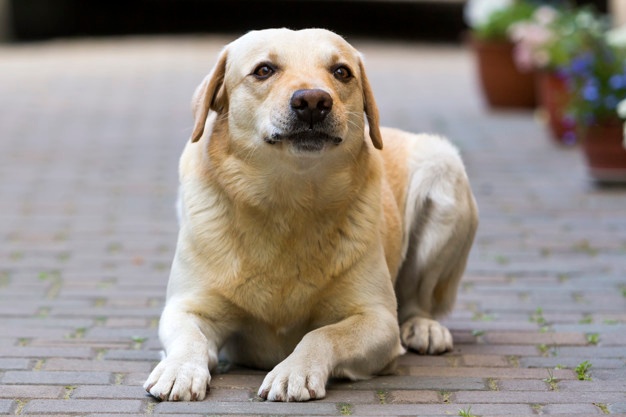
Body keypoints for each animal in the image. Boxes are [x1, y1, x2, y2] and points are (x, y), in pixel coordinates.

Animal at [144, 27, 476, 402]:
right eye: (264, 70)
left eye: (341, 72)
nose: (314, 101)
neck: (290, 201)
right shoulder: (186, 307)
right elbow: (190, 337)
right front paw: (179, 369)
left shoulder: (378, 320)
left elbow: (322, 334)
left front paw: (294, 371)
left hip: (443, 169)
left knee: (418, 300)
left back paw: (424, 327)